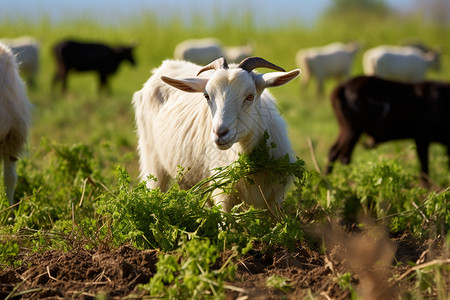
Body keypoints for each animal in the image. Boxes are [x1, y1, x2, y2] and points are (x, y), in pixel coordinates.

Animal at [134, 56, 302, 211]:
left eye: (250, 96)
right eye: (207, 96)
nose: (219, 133)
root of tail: (164, 66)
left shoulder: (276, 198)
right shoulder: (222, 197)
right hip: (152, 160)